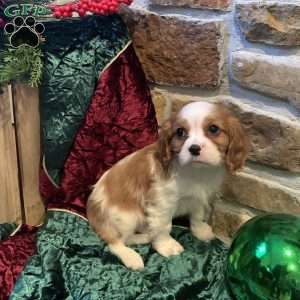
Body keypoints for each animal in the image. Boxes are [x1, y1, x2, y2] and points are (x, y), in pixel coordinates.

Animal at [87, 101, 248, 270]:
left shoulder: (198, 198)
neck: (196, 171)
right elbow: (164, 226)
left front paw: (200, 230)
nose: (194, 148)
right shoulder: (162, 203)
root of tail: (91, 209)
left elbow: (197, 215)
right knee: (116, 242)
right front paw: (166, 245)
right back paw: (133, 254)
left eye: (213, 129)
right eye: (180, 132)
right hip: (126, 217)